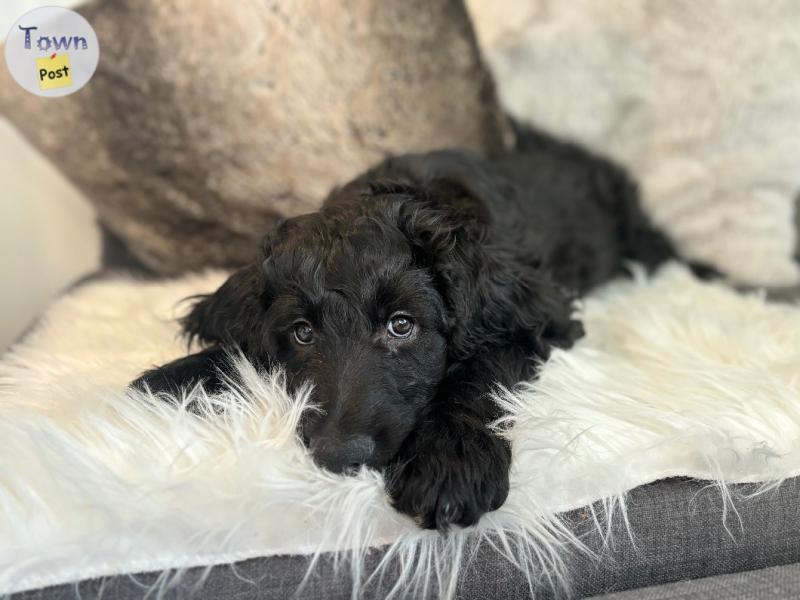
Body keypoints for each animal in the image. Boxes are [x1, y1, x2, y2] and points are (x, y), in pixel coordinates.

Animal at [134, 130, 684, 528]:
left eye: (402, 326)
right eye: (302, 333)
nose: (339, 457)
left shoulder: (531, 320)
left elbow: (476, 372)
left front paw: (449, 465)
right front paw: (174, 379)